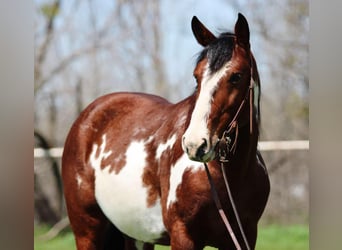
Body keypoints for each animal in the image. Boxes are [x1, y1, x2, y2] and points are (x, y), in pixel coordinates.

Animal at [61, 12, 270, 249]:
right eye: (196, 76)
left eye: (236, 76)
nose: (195, 144)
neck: (229, 178)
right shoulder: (183, 236)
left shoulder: (244, 237)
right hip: (87, 232)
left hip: (136, 235)